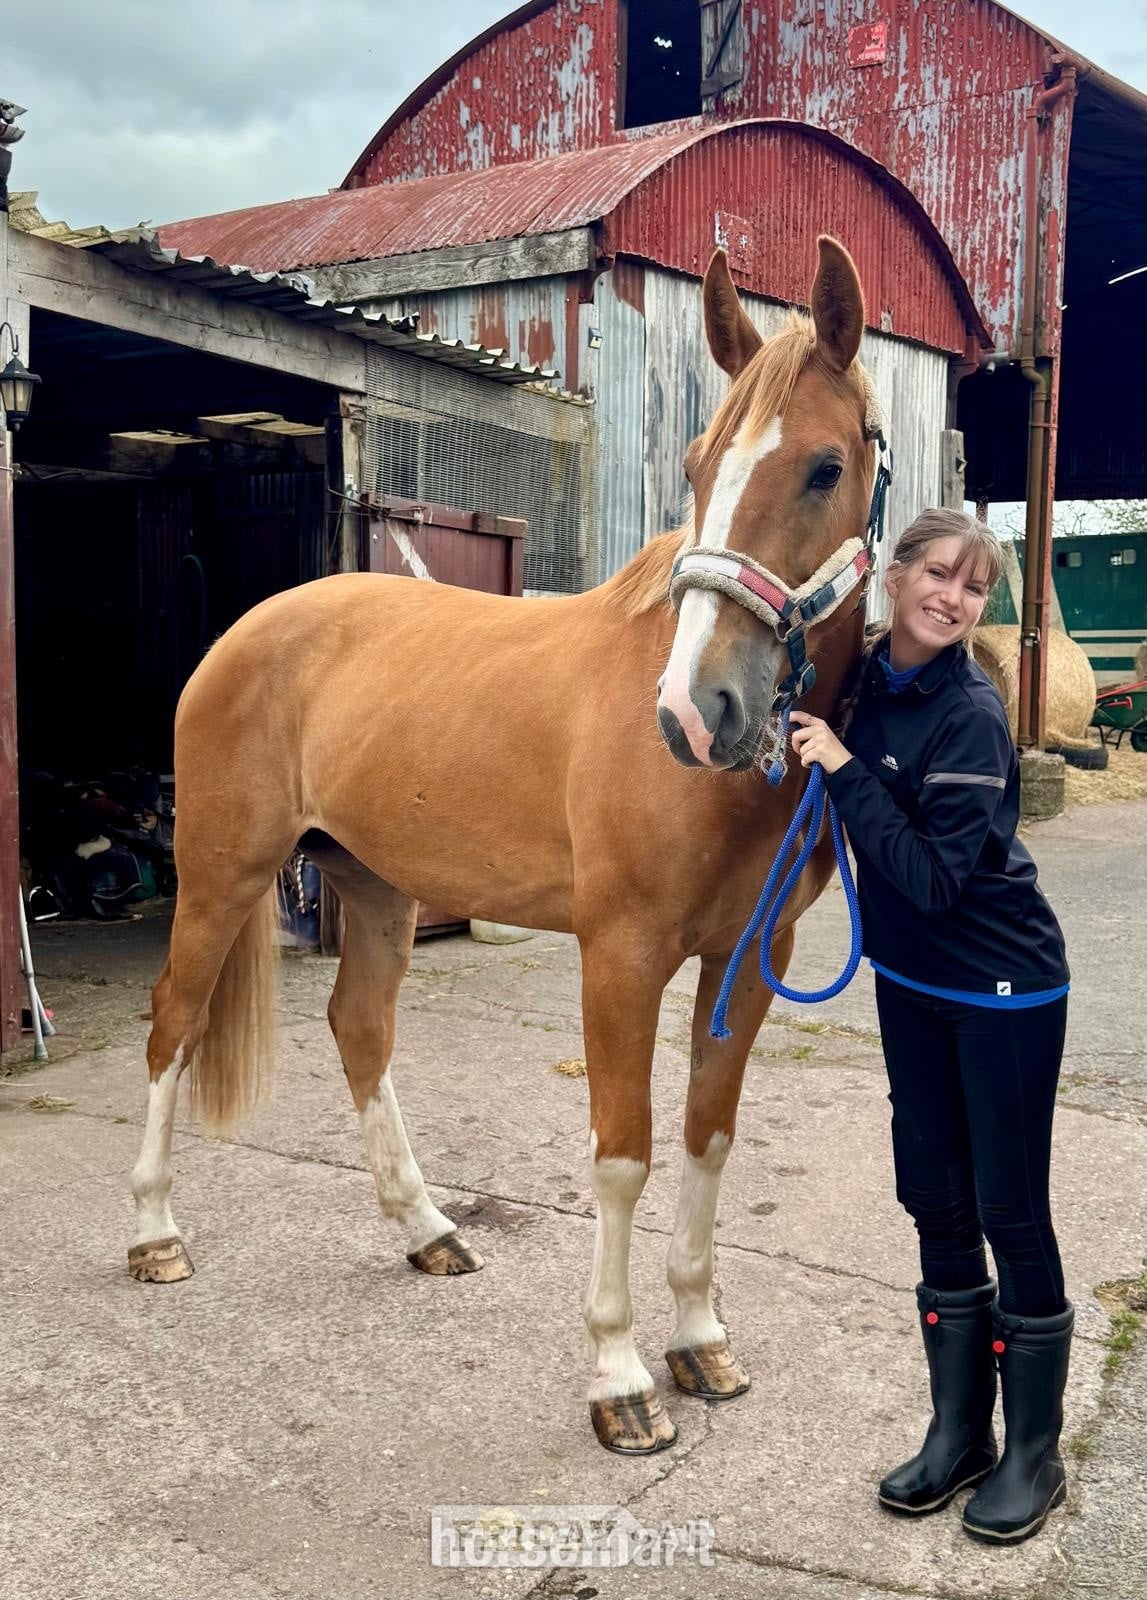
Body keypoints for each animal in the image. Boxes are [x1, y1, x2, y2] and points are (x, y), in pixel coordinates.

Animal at [128, 236, 883, 1456]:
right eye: (696, 464)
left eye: (823, 467)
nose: (697, 710)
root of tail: (248, 628)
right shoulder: (619, 957)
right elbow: (622, 1153)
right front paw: (620, 1378)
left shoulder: (743, 964)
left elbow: (707, 1137)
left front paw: (700, 1339)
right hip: (221, 872)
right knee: (173, 1023)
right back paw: (154, 1234)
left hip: (376, 886)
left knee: (359, 1030)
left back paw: (426, 1226)